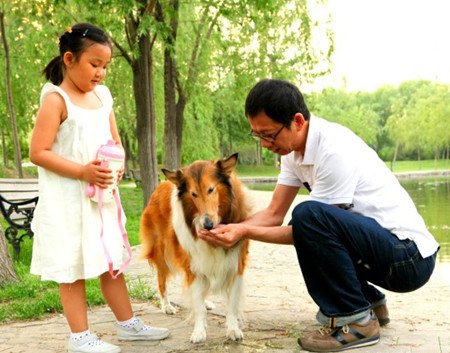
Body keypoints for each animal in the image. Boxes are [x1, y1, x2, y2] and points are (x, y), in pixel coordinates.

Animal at [140, 153, 253, 340]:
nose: (207, 225)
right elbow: (198, 306)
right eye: (193, 194)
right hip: (163, 252)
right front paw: (199, 332)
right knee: (162, 280)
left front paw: (233, 329)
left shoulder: (236, 264)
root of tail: (161, 184)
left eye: (211, 189)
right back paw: (167, 306)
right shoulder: (193, 264)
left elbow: (231, 304)